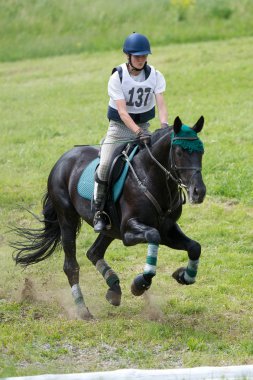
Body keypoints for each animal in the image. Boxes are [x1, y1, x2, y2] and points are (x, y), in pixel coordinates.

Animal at [10, 116, 207, 320]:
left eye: (201, 151)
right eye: (179, 152)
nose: (199, 192)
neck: (151, 177)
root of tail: (62, 159)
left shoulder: (167, 229)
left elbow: (194, 247)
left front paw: (184, 276)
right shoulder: (129, 232)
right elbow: (153, 236)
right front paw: (139, 284)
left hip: (110, 228)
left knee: (94, 252)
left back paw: (114, 289)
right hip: (68, 220)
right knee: (71, 265)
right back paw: (82, 309)